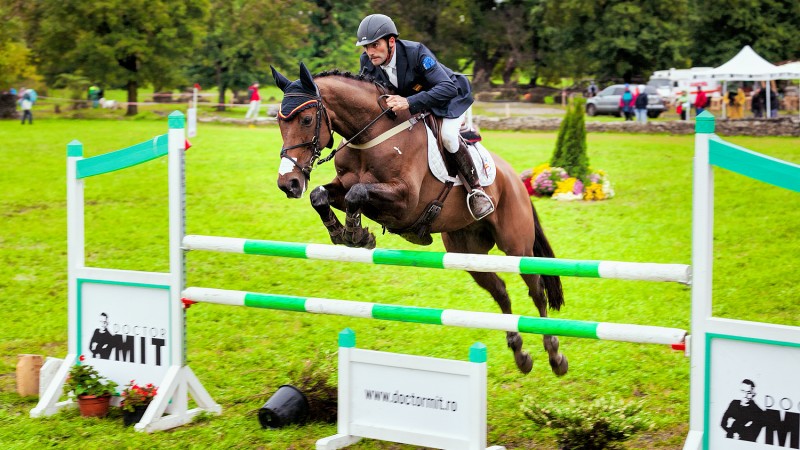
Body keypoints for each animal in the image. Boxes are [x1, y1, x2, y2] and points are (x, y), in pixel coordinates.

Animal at [271, 62, 567, 376]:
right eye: (279, 122)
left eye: (306, 119)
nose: (288, 183)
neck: (370, 135)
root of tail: (515, 179)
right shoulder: (345, 187)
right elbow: (321, 195)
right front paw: (348, 234)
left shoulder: (406, 200)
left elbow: (357, 193)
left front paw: (355, 233)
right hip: (467, 252)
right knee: (500, 291)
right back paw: (520, 353)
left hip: (516, 247)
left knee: (536, 290)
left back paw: (555, 355)